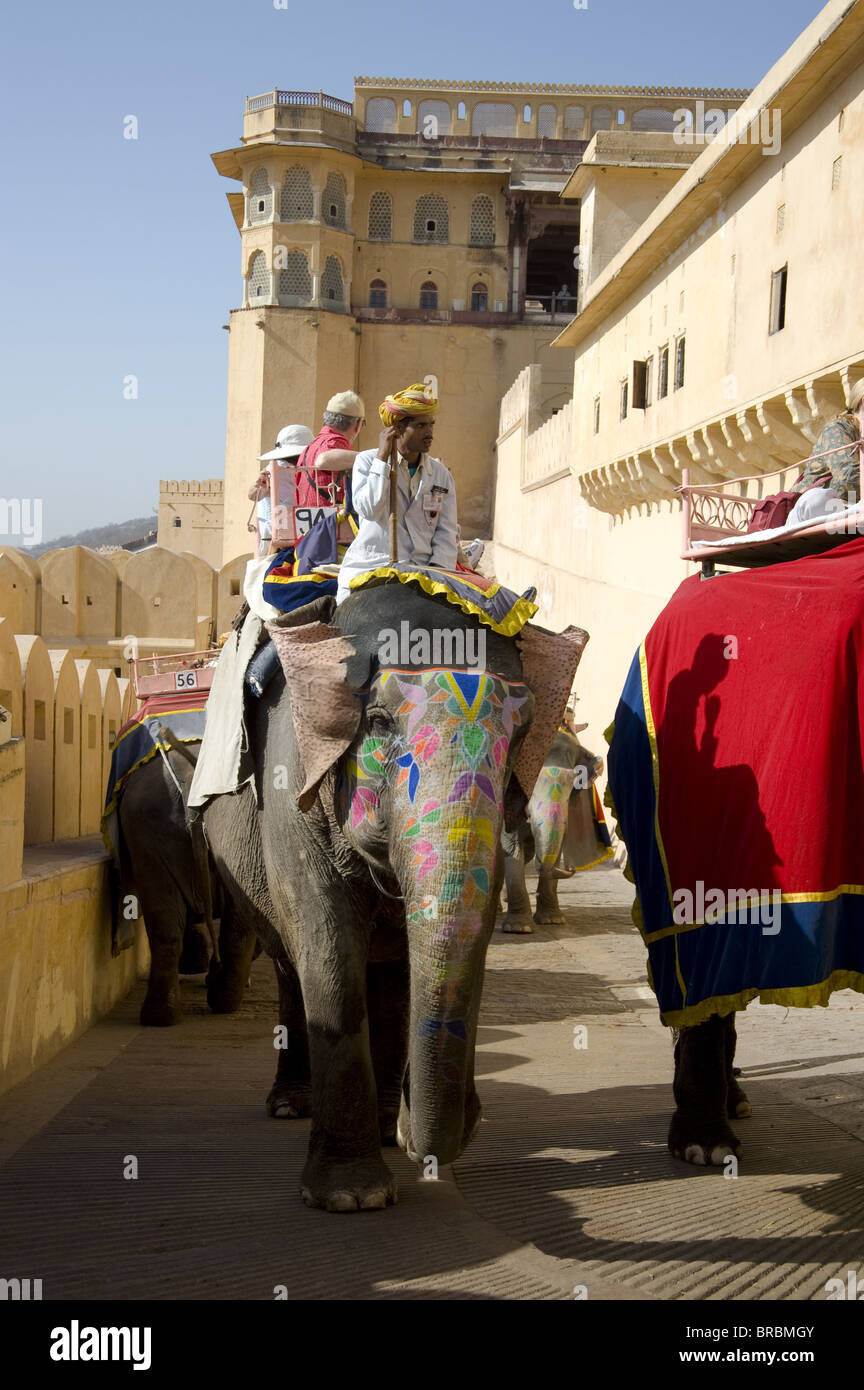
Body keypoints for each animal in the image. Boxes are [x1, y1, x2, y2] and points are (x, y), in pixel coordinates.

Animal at [200, 589, 586, 1217]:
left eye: (523, 732)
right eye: (377, 723)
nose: (470, 1114)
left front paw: (395, 1139)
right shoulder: (290, 789)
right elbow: (328, 945)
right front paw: (350, 1198)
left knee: (385, 972)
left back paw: (378, 1126)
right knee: (288, 962)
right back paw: (290, 1104)